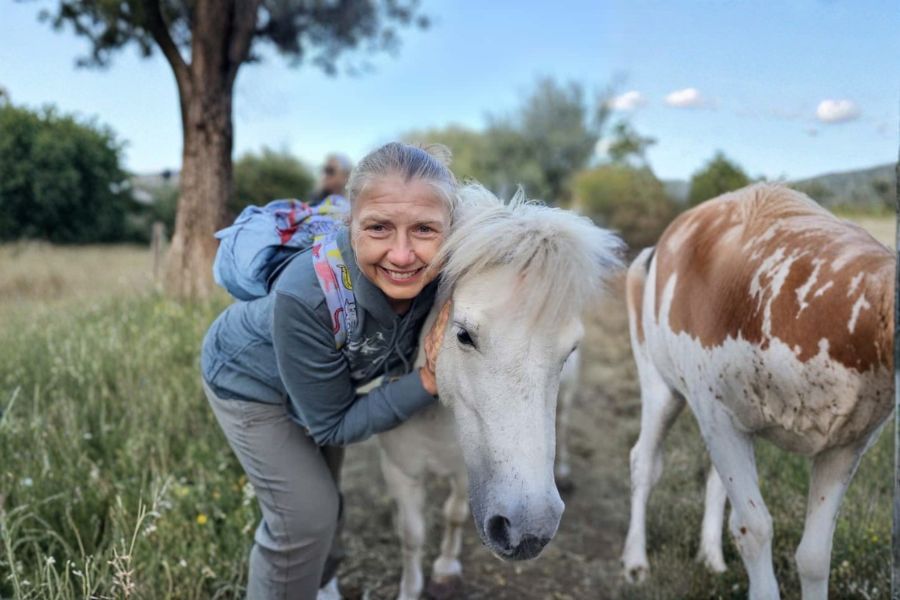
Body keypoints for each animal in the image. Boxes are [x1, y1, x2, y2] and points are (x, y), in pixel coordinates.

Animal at [377, 183, 623, 600]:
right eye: (463, 335)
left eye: (570, 349)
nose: (530, 531)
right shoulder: (400, 471)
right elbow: (412, 535)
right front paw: (411, 587)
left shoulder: (469, 470)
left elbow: (454, 514)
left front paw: (446, 569)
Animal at [621, 184, 893, 599]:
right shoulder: (717, 414)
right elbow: (754, 528)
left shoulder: (848, 443)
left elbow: (815, 553)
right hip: (660, 386)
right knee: (644, 463)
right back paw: (636, 563)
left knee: (714, 480)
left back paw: (711, 558)